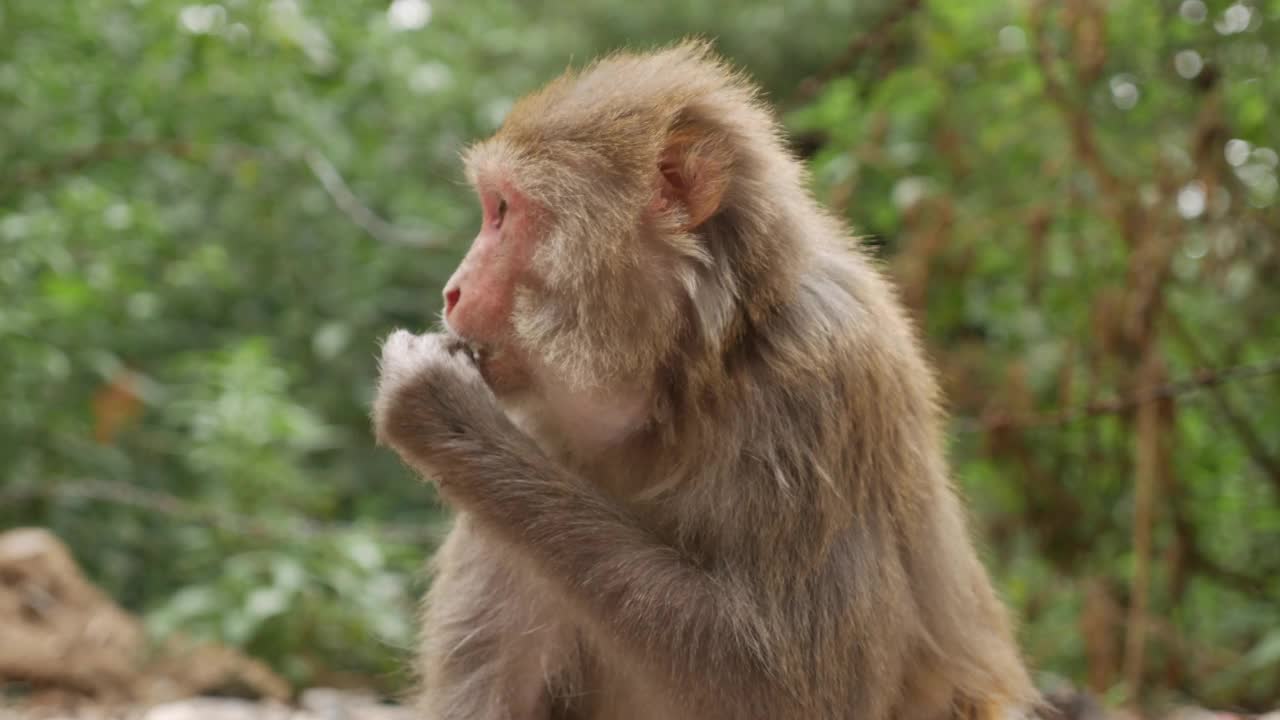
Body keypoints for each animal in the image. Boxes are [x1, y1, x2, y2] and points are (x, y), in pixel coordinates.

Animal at [373, 40, 1039, 717]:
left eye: (503, 211)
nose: (452, 291)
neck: (687, 375)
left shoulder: (823, 384)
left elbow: (797, 690)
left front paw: (445, 413)